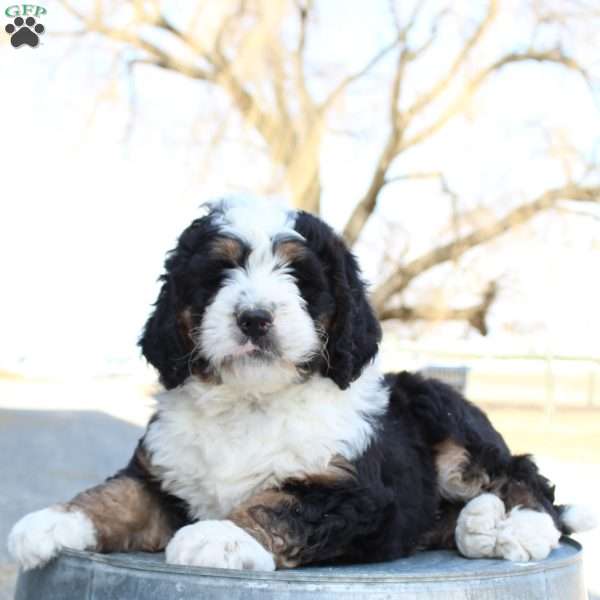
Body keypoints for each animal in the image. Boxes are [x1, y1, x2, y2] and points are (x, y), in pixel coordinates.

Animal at [8, 198, 596, 572]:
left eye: (300, 279)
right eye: (219, 273)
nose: (254, 319)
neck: (251, 400)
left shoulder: (352, 492)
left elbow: (278, 506)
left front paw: (219, 535)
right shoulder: (162, 476)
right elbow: (115, 496)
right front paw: (47, 524)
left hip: (442, 408)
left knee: (525, 476)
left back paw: (519, 529)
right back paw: (477, 526)